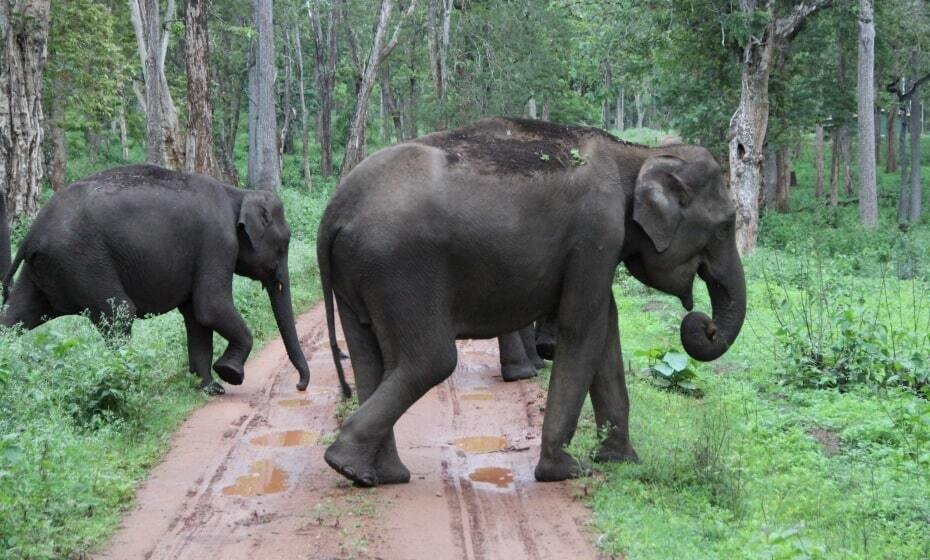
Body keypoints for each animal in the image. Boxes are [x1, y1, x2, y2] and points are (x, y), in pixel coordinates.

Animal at [0, 165, 316, 394]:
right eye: (283, 245)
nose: (299, 385)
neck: (237, 193)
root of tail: (32, 233)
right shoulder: (217, 243)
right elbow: (210, 307)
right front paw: (230, 375)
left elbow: (196, 317)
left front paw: (210, 388)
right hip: (82, 261)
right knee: (119, 313)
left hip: (45, 268)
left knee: (17, 317)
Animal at [316, 118, 744, 486]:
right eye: (726, 226)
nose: (703, 324)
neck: (637, 154)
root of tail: (334, 210)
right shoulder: (597, 232)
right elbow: (584, 327)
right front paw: (566, 471)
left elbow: (607, 328)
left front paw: (622, 461)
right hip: (398, 268)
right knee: (430, 360)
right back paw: (346, 464)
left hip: (359, 275)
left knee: (370, 360)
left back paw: (377, 475)